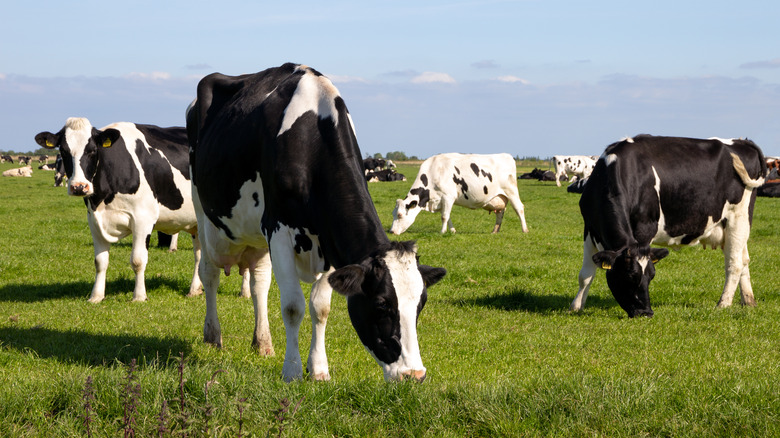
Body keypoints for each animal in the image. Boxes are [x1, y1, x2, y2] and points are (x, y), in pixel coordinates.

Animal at [34, 116, 204, 302]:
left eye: (92, 150)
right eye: (64, 150)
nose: (79, 187)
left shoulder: (143, 218)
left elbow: (138, 260)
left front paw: (139, 296)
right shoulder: (94, 220)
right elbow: (100, 262)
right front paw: (96, 296)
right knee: (199, 255)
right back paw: (195, 289)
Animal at [185, 63, 448, 382]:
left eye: (421, 304)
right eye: (381, 305)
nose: (415, 374)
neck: (310, 138)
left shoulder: (329, 239)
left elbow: (320, 308)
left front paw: (319, 368)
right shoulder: (278, 230)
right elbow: (292, 306)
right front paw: (292, 371)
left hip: (256, 235)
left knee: (259, 282)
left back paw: (262, 342)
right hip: (204, 213)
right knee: (209, 272)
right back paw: (213, 335)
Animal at [390, 154, 532, 236]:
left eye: (400, 215)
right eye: (393, 214)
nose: (391, 232)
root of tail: (507, 155)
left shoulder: (448, 196)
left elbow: (444, 216)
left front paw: (442, 232)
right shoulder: (441, 200)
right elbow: (447, 216)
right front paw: (452, 231)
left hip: (511, 191)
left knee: (519, 208)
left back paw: (525, 230)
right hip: (499, 197)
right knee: (500, 213)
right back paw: (495, 231)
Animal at [568, 135, 764, 316]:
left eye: (651, 276)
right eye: (629, 275)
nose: (646, 312)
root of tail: (742, 141)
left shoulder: (645, 228)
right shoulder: (589, 229)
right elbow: (585, 274)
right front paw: (576, 307)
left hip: (738, 217)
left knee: (734, 263)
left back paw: (723, 304)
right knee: (744, 260)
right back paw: (748, 301)